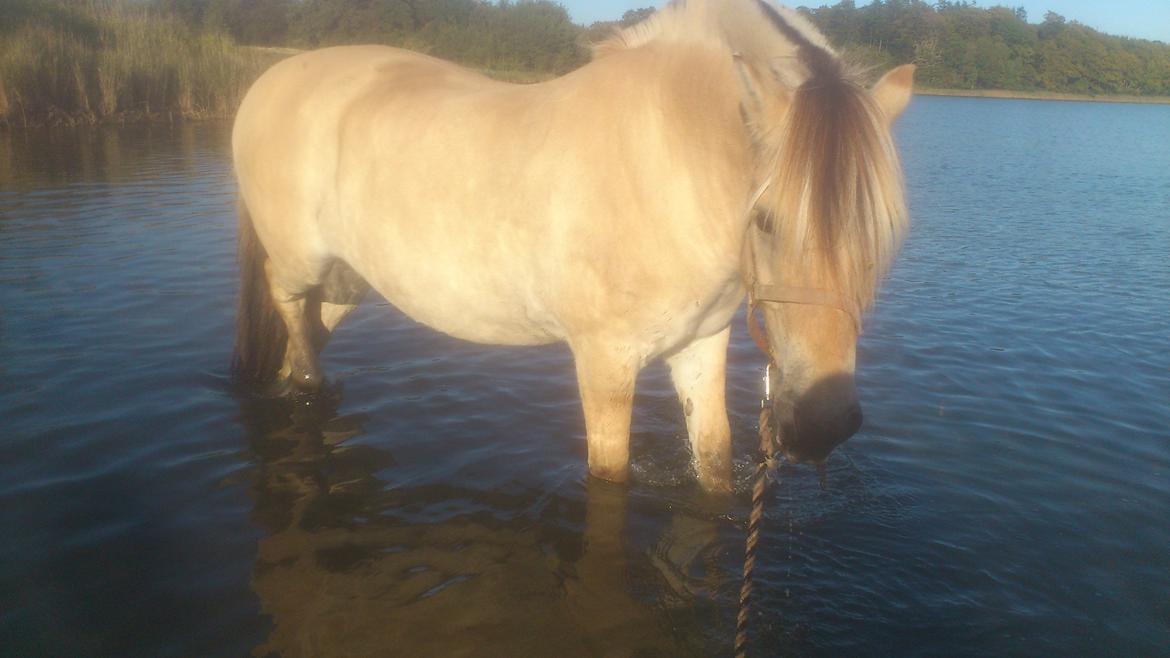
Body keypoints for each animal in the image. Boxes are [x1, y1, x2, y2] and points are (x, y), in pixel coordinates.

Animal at [228, 0, 912, 491]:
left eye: (880, 233)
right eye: (766, 219)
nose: (824, 425)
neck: (669, 161)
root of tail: (268, 80)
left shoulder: (701, 345)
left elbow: (714, 461)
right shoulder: (604, 362)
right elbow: (610, 476)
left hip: (347, 281)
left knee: (305, 330)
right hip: (302, 261)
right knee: (285, 301)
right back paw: (313, 386)